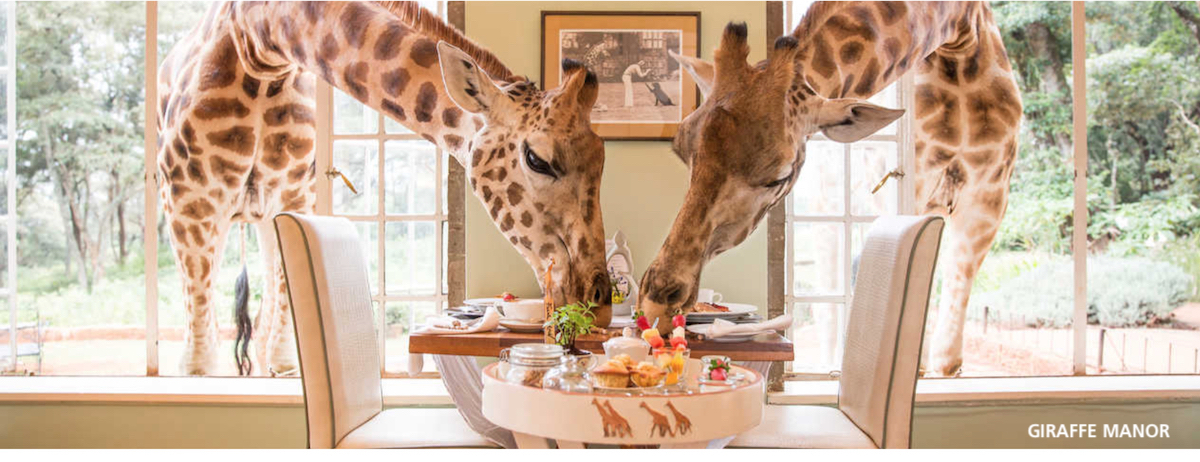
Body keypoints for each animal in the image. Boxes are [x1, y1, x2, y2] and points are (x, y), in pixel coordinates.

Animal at [158, 1, 611, 376]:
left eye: (603, 160)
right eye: (537, 159)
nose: (600, 304)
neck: (261, 41)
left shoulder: (292, 196)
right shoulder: (189, 201)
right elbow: (199, 359)